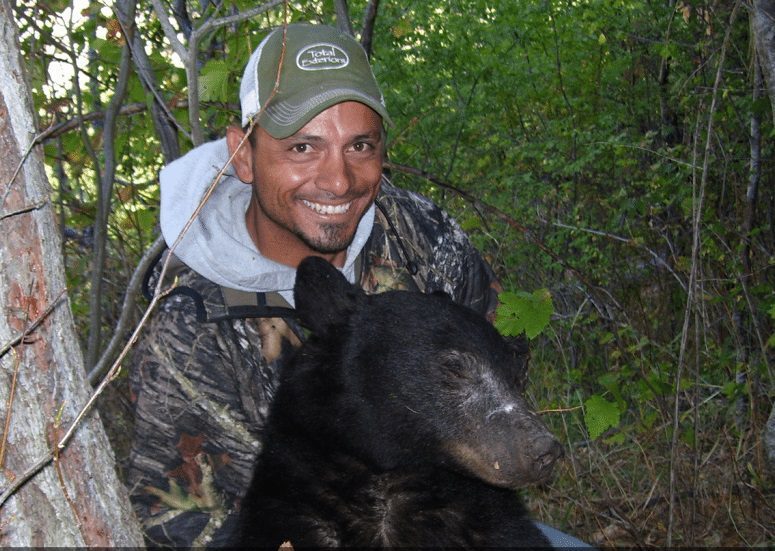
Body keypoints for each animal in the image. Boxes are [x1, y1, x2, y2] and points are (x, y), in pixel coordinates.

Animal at [236, 258, 564, 548]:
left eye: (516, 377)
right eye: (455, 368)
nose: (544, 451)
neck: (389, 477)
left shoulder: (494, 526)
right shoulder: (291, 517)